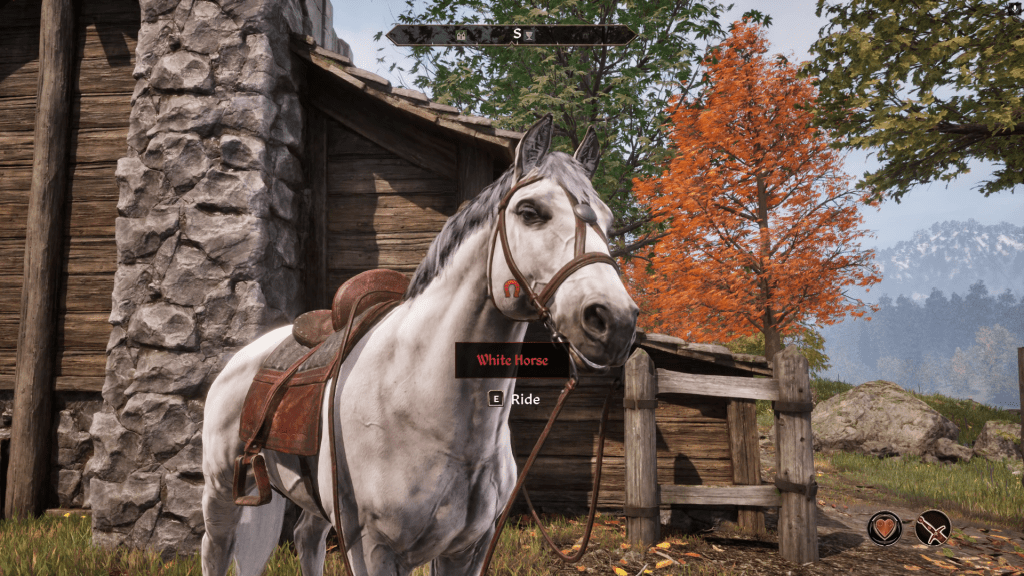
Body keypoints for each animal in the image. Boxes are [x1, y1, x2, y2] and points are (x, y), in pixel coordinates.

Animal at [200, 114, 639, 576]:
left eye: (608, 222)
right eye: (530, 212)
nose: (615, 321)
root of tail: (247, 354)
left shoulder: (467, 551)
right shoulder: (371, 548)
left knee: (306, 537)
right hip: (221, 492)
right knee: (216, 548)